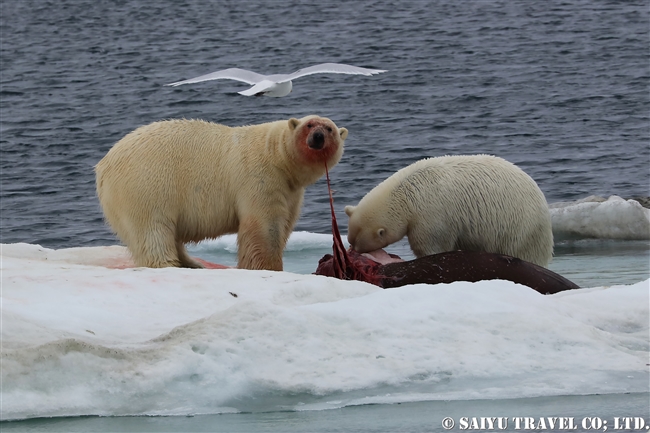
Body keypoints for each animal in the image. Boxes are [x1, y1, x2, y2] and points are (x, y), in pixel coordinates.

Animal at [94, 115, 346, 270]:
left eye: (330, 129)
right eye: (309, 125)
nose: (318, 138)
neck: (276, 155)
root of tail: (103, 167)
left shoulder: (290, 190)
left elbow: (284, 225)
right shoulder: (260, 178)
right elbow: (265, 227)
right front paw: (268, 267)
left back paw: (192, 263)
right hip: (146, 186)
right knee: (152, 230)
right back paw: (169, 264)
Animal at [344, 154, 552, 264]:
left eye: (357, 243)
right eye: (351, 240)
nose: (352, 251)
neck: (406, 192)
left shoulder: (430, 213)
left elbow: (431, 245)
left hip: (521, 229)